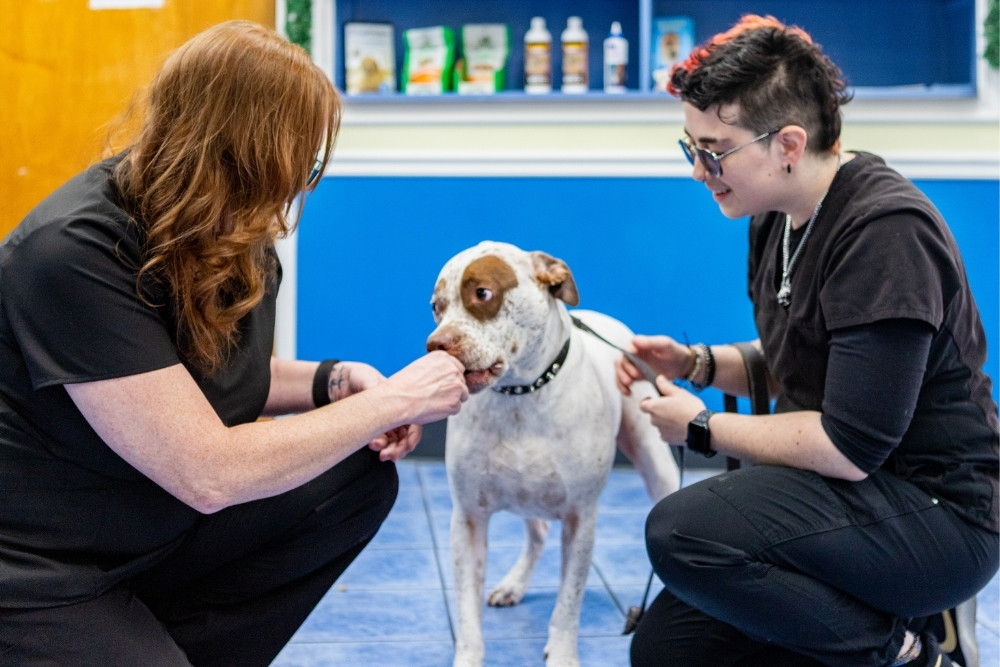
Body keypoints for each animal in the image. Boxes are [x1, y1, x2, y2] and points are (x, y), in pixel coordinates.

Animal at [426, 241, 684, 667]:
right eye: (436, 306)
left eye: (483, 293)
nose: (436, 344)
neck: (520, 393)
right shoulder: (468, 520)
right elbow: (467, 614)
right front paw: (468, 656)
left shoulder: (580, 520)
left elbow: (568, 603)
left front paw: (562, 653)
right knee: (538, 534)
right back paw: (513, 584)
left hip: (658, 466)